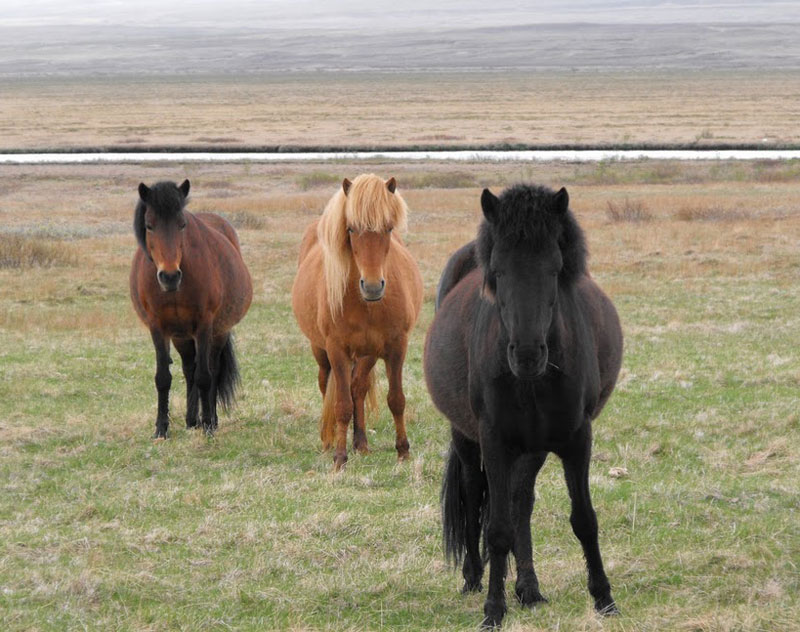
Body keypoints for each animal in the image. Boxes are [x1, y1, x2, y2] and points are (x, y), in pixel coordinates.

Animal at [130, 180, 253, 440]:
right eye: (149, 226)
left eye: (182, 224)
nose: (169, 276)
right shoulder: (158, 328)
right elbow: (163, 378)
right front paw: (161, 429)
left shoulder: (204, 325)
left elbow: (205, 377)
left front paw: (208, 426)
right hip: (181, 336)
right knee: (188, 369)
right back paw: (190, 420)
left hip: (218, 332)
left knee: (212, 370)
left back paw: (210, 420)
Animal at [290, 173, 422, 470]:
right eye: (350, 229)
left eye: (388, 228)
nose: (372, 287)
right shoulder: (337, 350)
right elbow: (341, 405)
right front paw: (340, 458)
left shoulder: (396, 347)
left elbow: (396, 400)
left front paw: (403, 451)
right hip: (321, 351)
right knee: (327, 384)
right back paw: (329, 441)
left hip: (367, 354)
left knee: (358, 388)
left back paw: (360, 442)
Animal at [424, 183, 624, 628]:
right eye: (498, 272)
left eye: (554, 270)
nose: (529, 355)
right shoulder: (495, 441)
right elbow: (497, 529)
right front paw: (493, 611)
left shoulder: (576, 439)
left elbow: (583, 520)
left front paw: (604, 598)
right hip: (467, 438)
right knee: (474, 494)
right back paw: (474, 577)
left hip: (532, 448)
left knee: (521, 502)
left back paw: (528, 588)